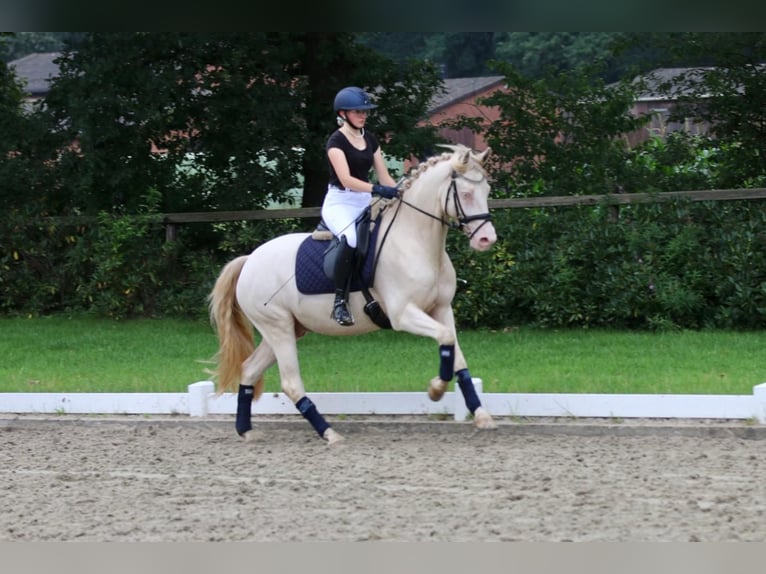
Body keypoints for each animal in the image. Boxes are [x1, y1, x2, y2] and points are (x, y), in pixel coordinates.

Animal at [207, 145, 500, 446]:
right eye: (466, 193)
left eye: (487, 190)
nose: (486, 240)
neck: (414, 241)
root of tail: (249, 261)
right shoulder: (403, 314)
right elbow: (444, 339)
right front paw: (436, 390)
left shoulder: (441, 308)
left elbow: (456, 355)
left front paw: (481, 416)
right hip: (277, 328)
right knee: (290, 383)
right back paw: (329, 433)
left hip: (286, 329)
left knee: (249, 369)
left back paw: (246, 429)